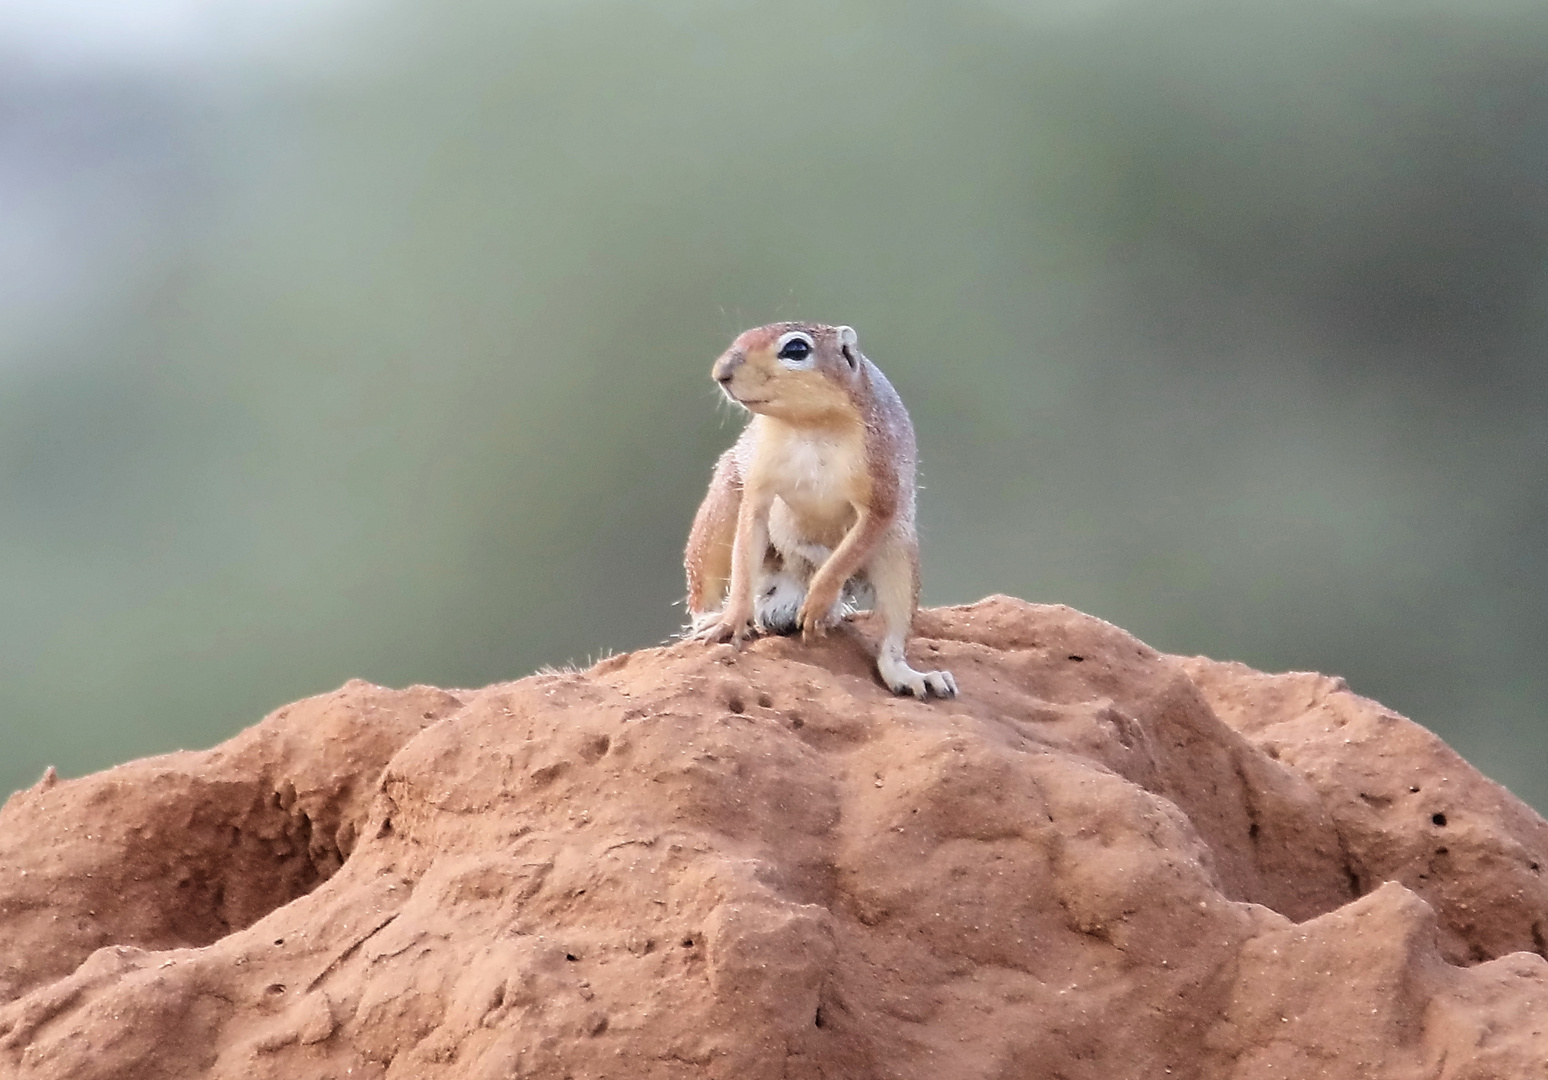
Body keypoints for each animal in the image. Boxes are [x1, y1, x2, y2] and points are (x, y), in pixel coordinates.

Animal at [687, 317, 953, 699]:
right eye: (740, 337)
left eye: (796, 349)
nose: (720, 373)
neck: (809, 427)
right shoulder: (759, 489)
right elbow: (744, 559)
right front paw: (730, 622)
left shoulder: (881, 492)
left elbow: (852, 547)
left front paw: (819, 600)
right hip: (719, 510)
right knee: (708, 582)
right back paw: (710, 619)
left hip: (898, 554)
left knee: (892, 638)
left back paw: (910, 675)